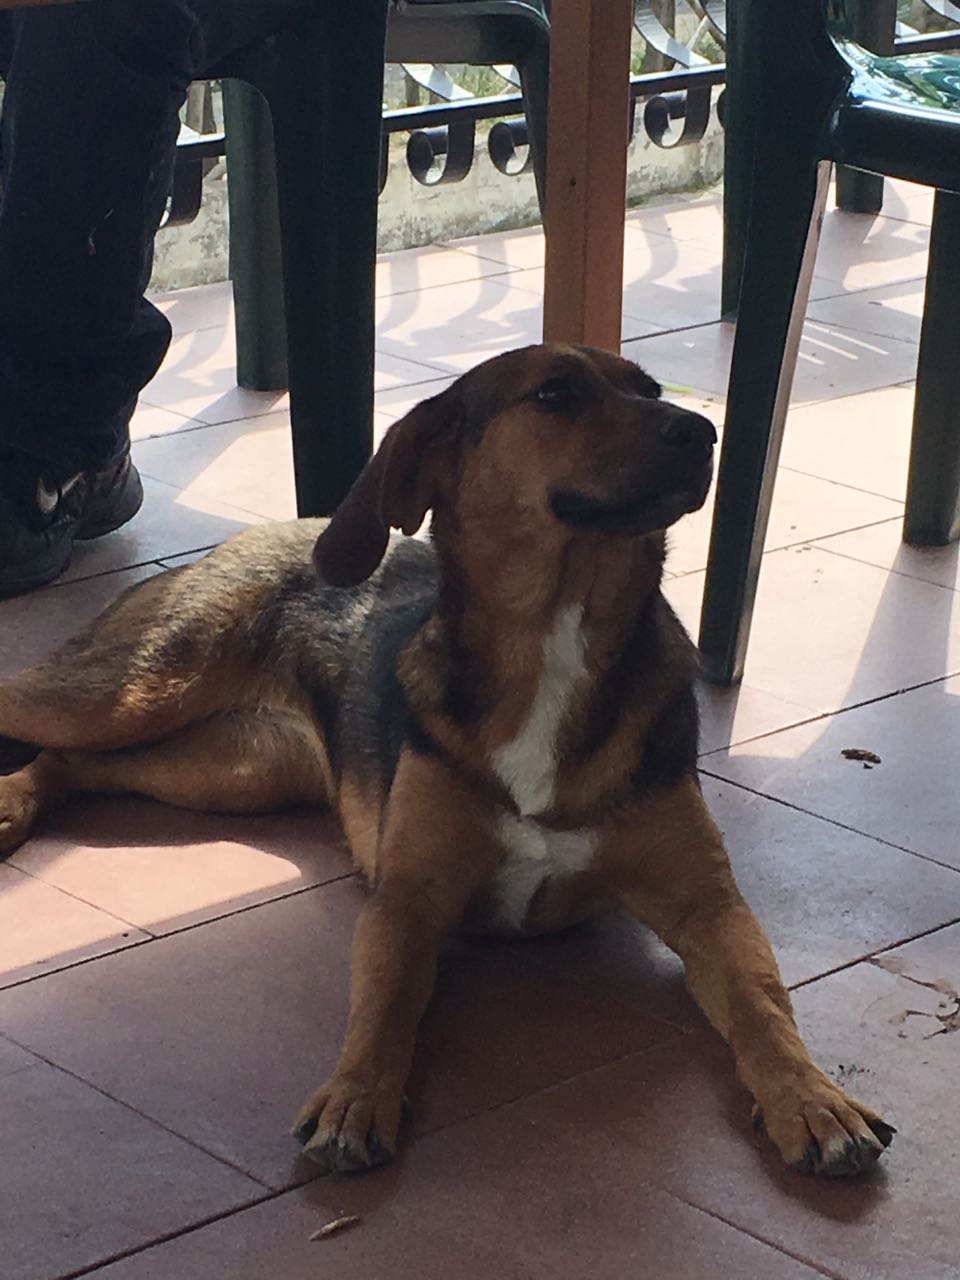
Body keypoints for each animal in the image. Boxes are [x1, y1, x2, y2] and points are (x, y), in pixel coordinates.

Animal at [0, 343, 893, 1177]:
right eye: (557, 393)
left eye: (649, 388)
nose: (701, 430)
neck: (556, 637)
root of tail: (259, 531)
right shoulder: (406, 902)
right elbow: (381, 1005)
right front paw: (355, 1096)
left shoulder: (707, 905)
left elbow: (764, 1004)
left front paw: (812, 1101)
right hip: (139, 688)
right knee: (36, 708)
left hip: (231, 769)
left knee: (81, 764)